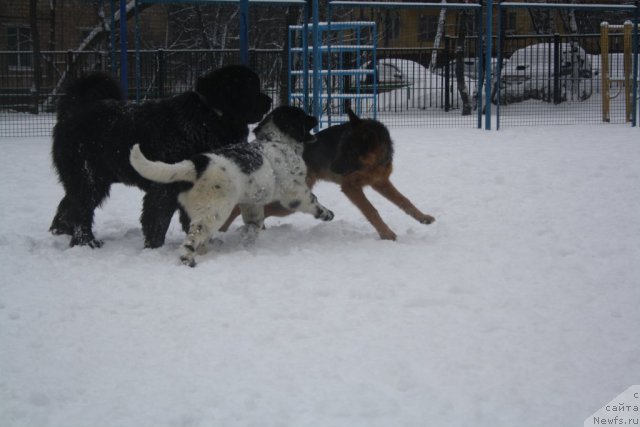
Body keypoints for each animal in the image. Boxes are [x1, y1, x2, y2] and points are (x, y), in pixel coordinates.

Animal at [49, 65, 270, 249]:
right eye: (251, 88)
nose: (269, 100)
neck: (209, 117)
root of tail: (72, 110)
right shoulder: (164, 188)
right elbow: (157, 220)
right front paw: (154, 248)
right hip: (88, 178)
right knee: (81, 211)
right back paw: (86, 242)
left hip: (93, 180)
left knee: (68, 205)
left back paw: (61, 232)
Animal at [127, 106, 332, 268]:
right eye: (302, 116)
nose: (315, 116)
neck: (277, 140)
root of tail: (196, 164)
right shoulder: (294, 191)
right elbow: (313, 201)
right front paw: (327, 214)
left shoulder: (251, 202)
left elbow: (254, 224)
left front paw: (247, 238)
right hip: (213, 212)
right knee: (193, 237)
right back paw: (188, 259)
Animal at [221, 108, 436, 241]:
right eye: (341, 149)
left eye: (350, 152)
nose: (332, 168)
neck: (372, 164)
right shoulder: (350, 187)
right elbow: (371, 210)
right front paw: (386, 233)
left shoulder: (381, 182)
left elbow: (404, 201)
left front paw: (422, 217)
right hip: (288, 202)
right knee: (241, 208)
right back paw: (223, 229)